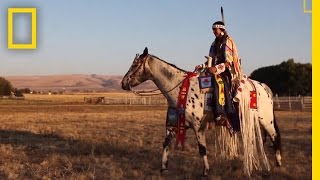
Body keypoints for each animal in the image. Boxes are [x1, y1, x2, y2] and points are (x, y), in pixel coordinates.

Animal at [121, 47, 282, 177]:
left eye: (135, 64)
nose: (123, 83)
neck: (180, 90)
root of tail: (264, 87)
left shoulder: (199, 127)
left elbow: (202, 149)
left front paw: (205, 171)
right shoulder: (173, 126)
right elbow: (166, 144)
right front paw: (163, 168)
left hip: (266, 120)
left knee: (274, 136)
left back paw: (278, 163)